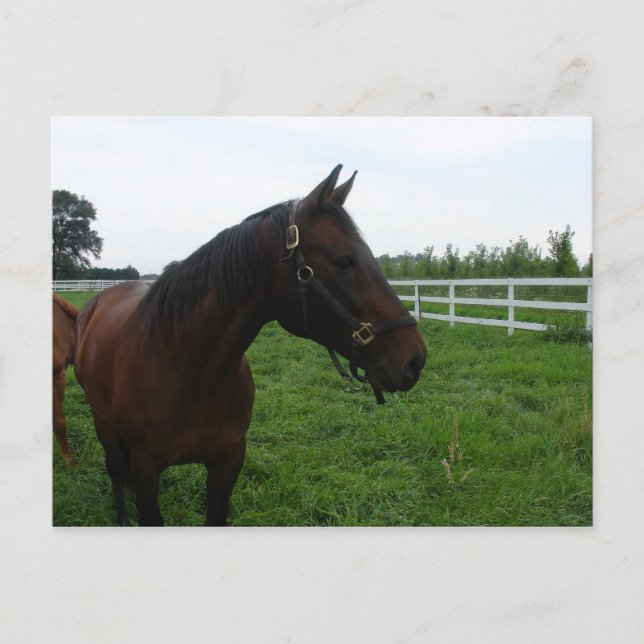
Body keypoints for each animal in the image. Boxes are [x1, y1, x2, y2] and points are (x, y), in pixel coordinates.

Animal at [74, 165, 427, 526]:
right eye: (345, 260)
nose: (415, 359)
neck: (187, 367)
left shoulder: (228, 462)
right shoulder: (146, 470)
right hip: (103, 424)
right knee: (116, 470)